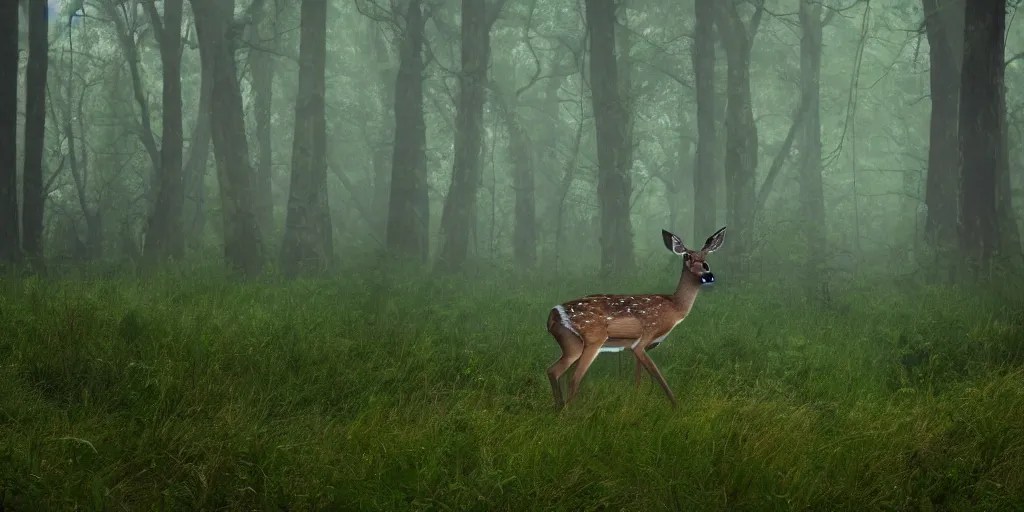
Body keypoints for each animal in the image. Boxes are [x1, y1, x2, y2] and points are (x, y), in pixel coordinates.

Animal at [545, 227, 726, 409]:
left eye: (706, 257)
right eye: (687, 256)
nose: (708, 275)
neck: (675, 308)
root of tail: (553, 315)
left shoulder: (643, 346)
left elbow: (638, 375)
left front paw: (637, 399)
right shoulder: (644, 337)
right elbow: (657, 374)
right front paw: (676, 406)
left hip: (572, 345)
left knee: (554, 371)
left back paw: (559, 408)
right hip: (593, 339)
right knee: (573, 378)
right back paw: (569, 411)